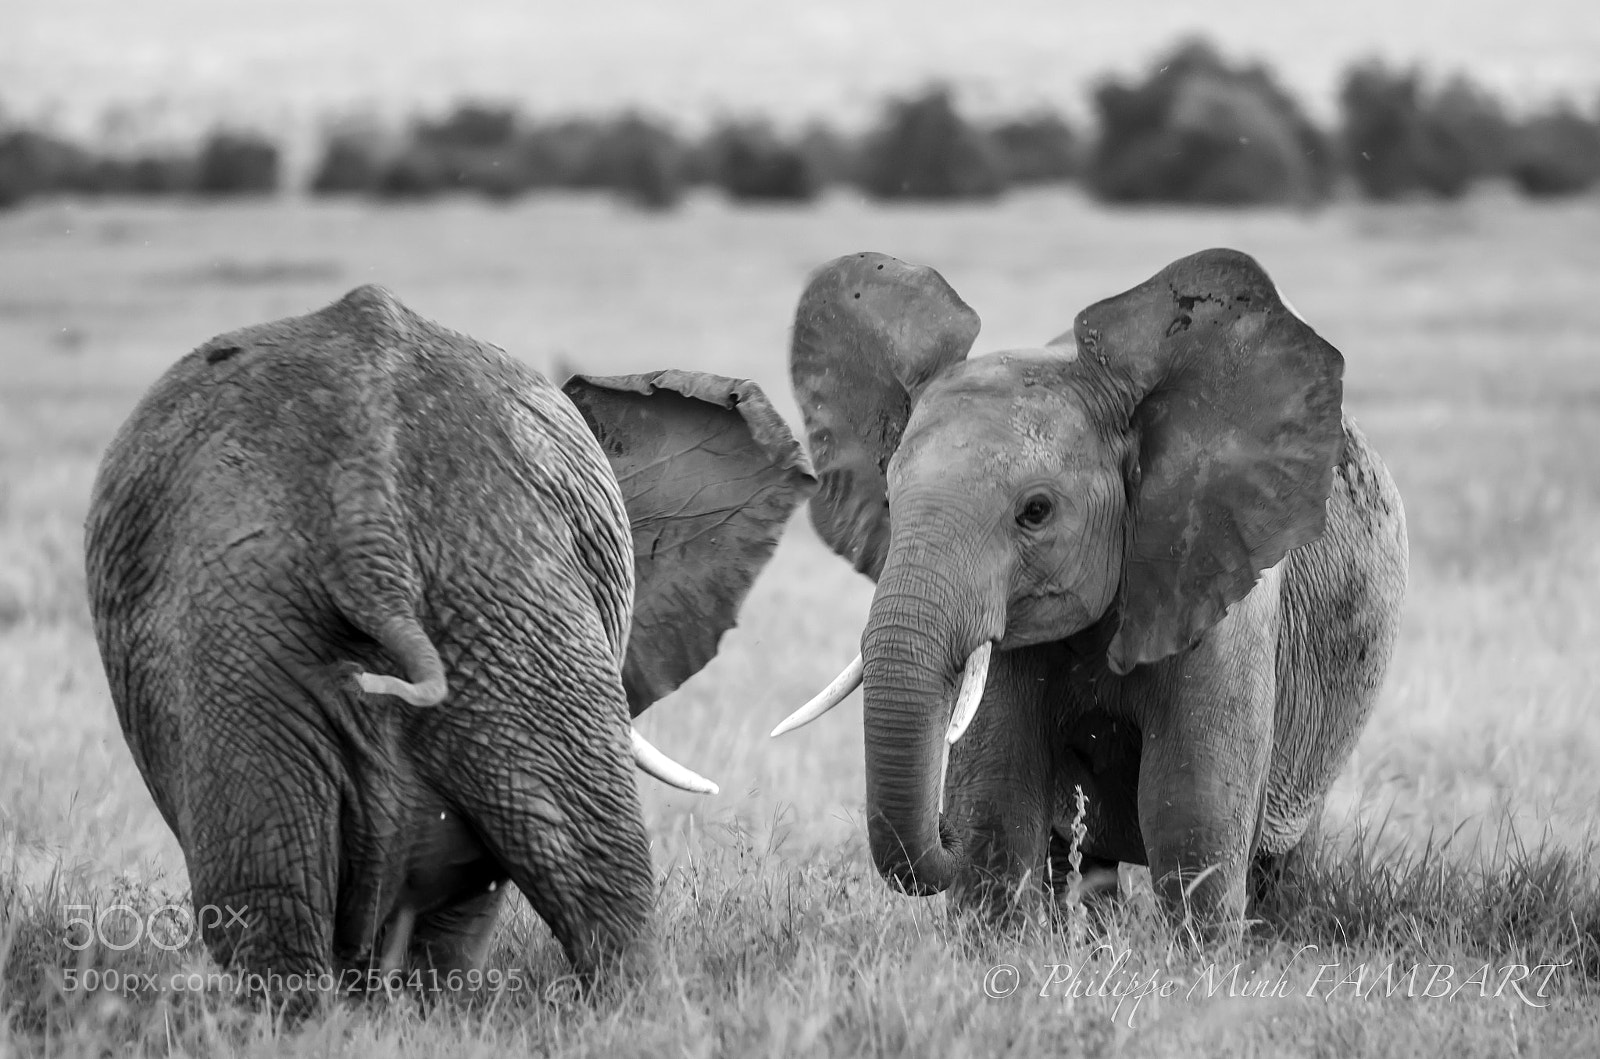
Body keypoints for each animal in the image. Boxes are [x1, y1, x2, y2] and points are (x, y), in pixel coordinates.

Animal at [772, 249, 1407, 929]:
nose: (942, 829)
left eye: (1036, 511)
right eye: (890, 497)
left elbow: (1192, 811)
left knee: (1279, 848)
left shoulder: (1220, 587)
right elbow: (999, 800)